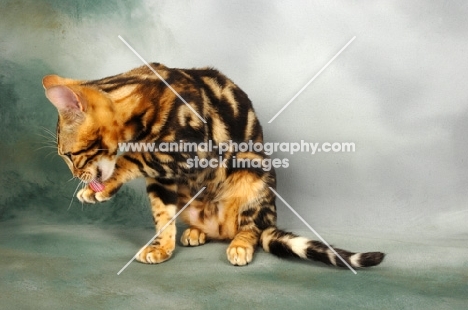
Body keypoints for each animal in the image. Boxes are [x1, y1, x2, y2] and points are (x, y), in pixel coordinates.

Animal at [42, 62, 384, 266]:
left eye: (69, 155)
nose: (75, 173)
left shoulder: (190, 151)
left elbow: (133, 157)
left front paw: (98, 187)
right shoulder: (163, 178)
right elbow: (162, 216)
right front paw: (162, 248)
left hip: (255, 168)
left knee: (252, 228)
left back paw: (241, 245)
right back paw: (197, 232)